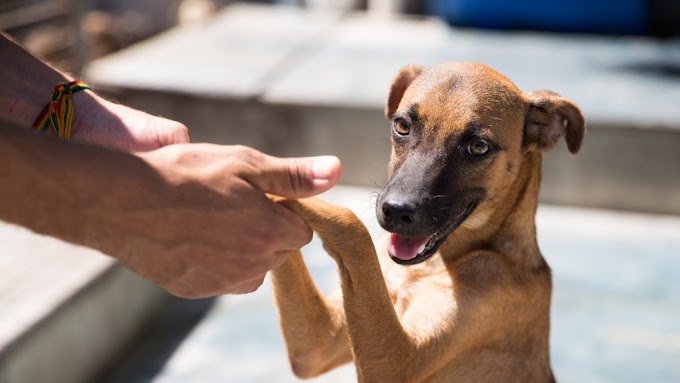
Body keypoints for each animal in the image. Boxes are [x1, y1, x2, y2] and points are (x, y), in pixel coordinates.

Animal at [270, 63, 584, 383]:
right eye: (402, 126)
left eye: (478, 146)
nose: (396, 212)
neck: (432, 266)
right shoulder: (318, 345)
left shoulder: (398, 362)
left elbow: (352, 226)